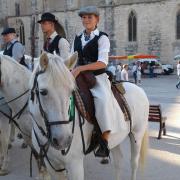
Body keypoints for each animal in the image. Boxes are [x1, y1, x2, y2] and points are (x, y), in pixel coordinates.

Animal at [28, 52, 149, 180]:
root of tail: (138, 88)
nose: (63, 140)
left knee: (133, 163)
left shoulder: (75, 165)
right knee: (118, 162)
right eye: (43, 92)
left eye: (71, 91)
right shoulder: (52, 165)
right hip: (116, 137)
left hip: (137, 135)